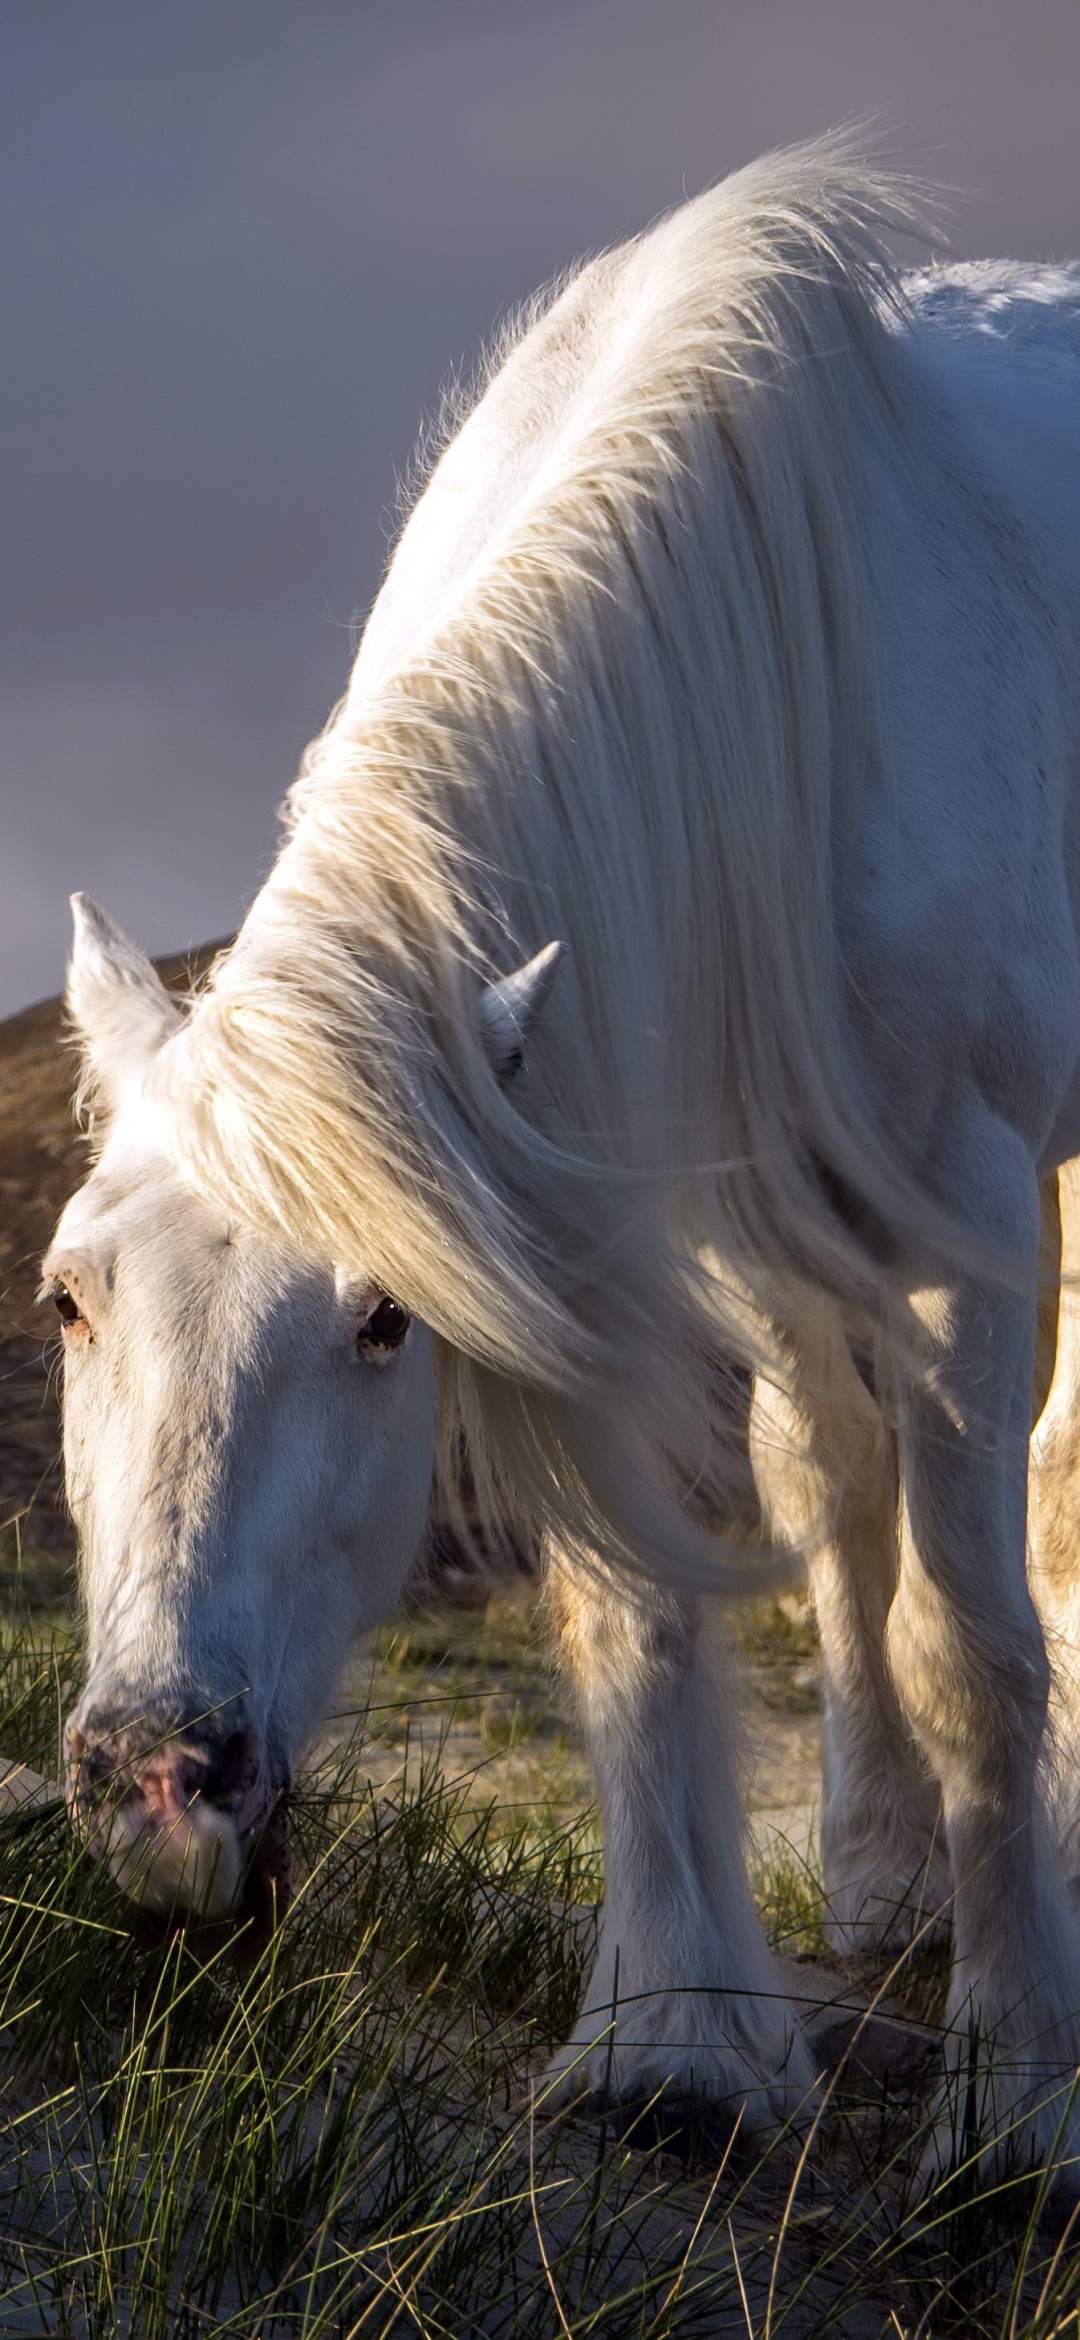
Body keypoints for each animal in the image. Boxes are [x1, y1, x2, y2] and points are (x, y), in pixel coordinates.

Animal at [48, 136, 1080, 2162]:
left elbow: (977, 1642)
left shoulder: (969, 1215)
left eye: (382, 1319)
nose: (156, 1779)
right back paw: (880, 1875)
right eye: (68, 1302)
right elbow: (636, 1602)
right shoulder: (619, 1212)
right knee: (831, 1482)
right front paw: (674, 2040)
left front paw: (1014, 2097)